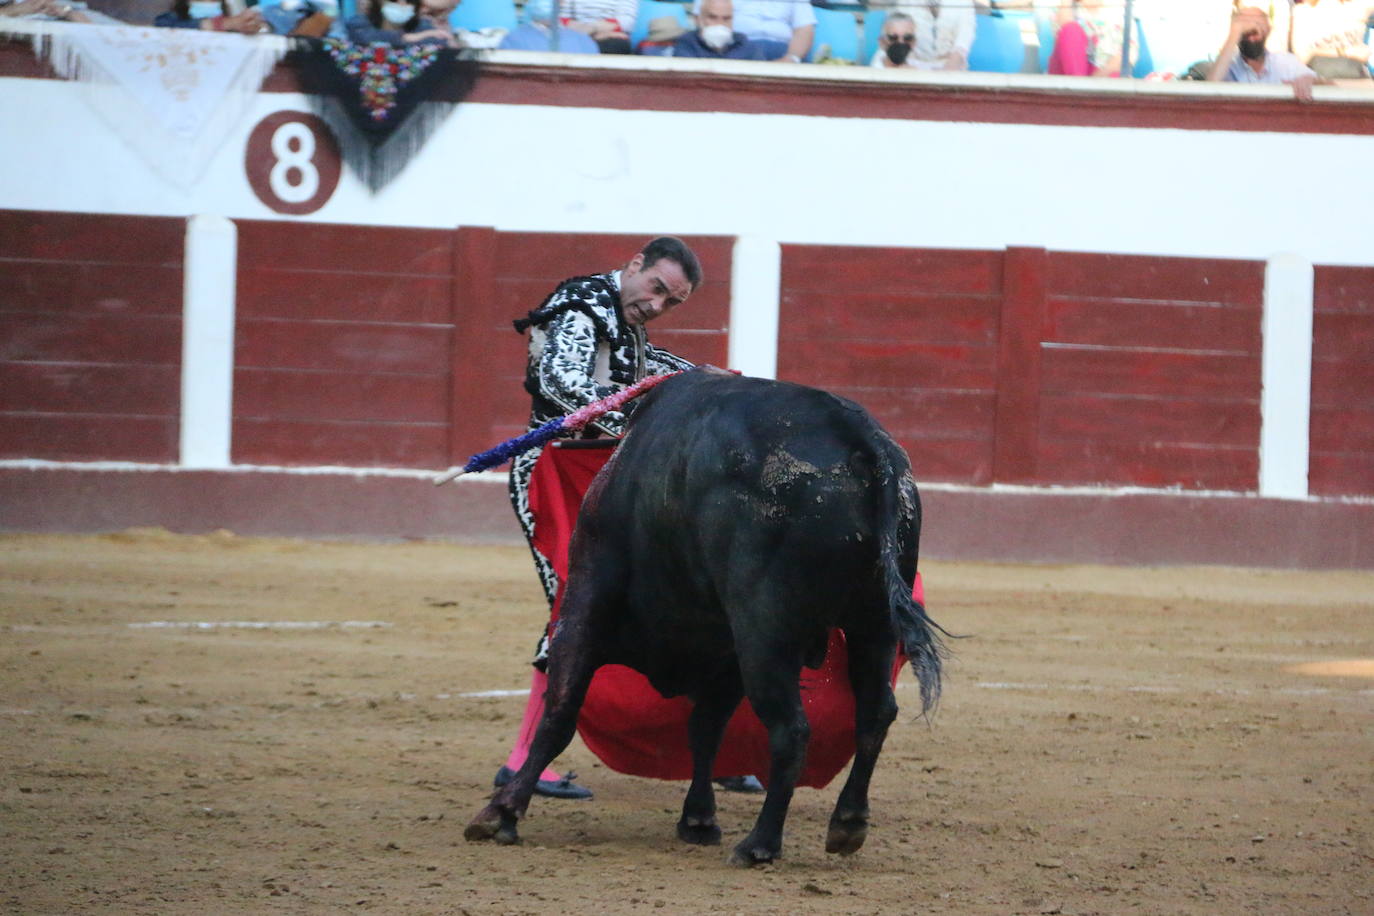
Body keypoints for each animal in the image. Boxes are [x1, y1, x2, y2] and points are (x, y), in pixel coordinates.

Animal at [461, 370, 945, 867]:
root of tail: (861, 438)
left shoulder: (584, 607)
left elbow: (560, 712)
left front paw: (500, 814)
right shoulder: (725, 651)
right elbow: (705, 728)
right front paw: (698, 819)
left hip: (765, 632)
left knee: (791, 729)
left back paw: (759, 844)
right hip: (874, 623)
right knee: (875, 712)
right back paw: (847, 825)